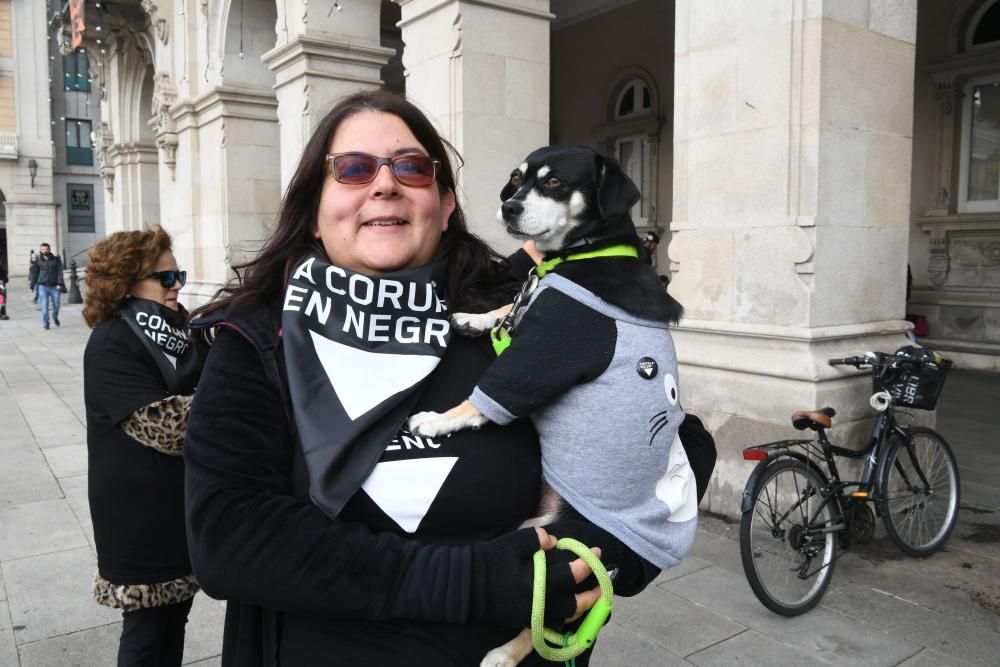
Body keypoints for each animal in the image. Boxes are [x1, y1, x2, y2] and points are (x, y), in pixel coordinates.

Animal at [406, 146, 696, 667]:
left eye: (556, 182)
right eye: (517, 179)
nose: (508, 207)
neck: (589, 251)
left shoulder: (547, 354)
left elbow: (482, 399)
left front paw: (436, 422)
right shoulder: (534, 308)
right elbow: (513, 308)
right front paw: (477, 318)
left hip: (567, 550)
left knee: (552, 612)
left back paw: (504, 653)